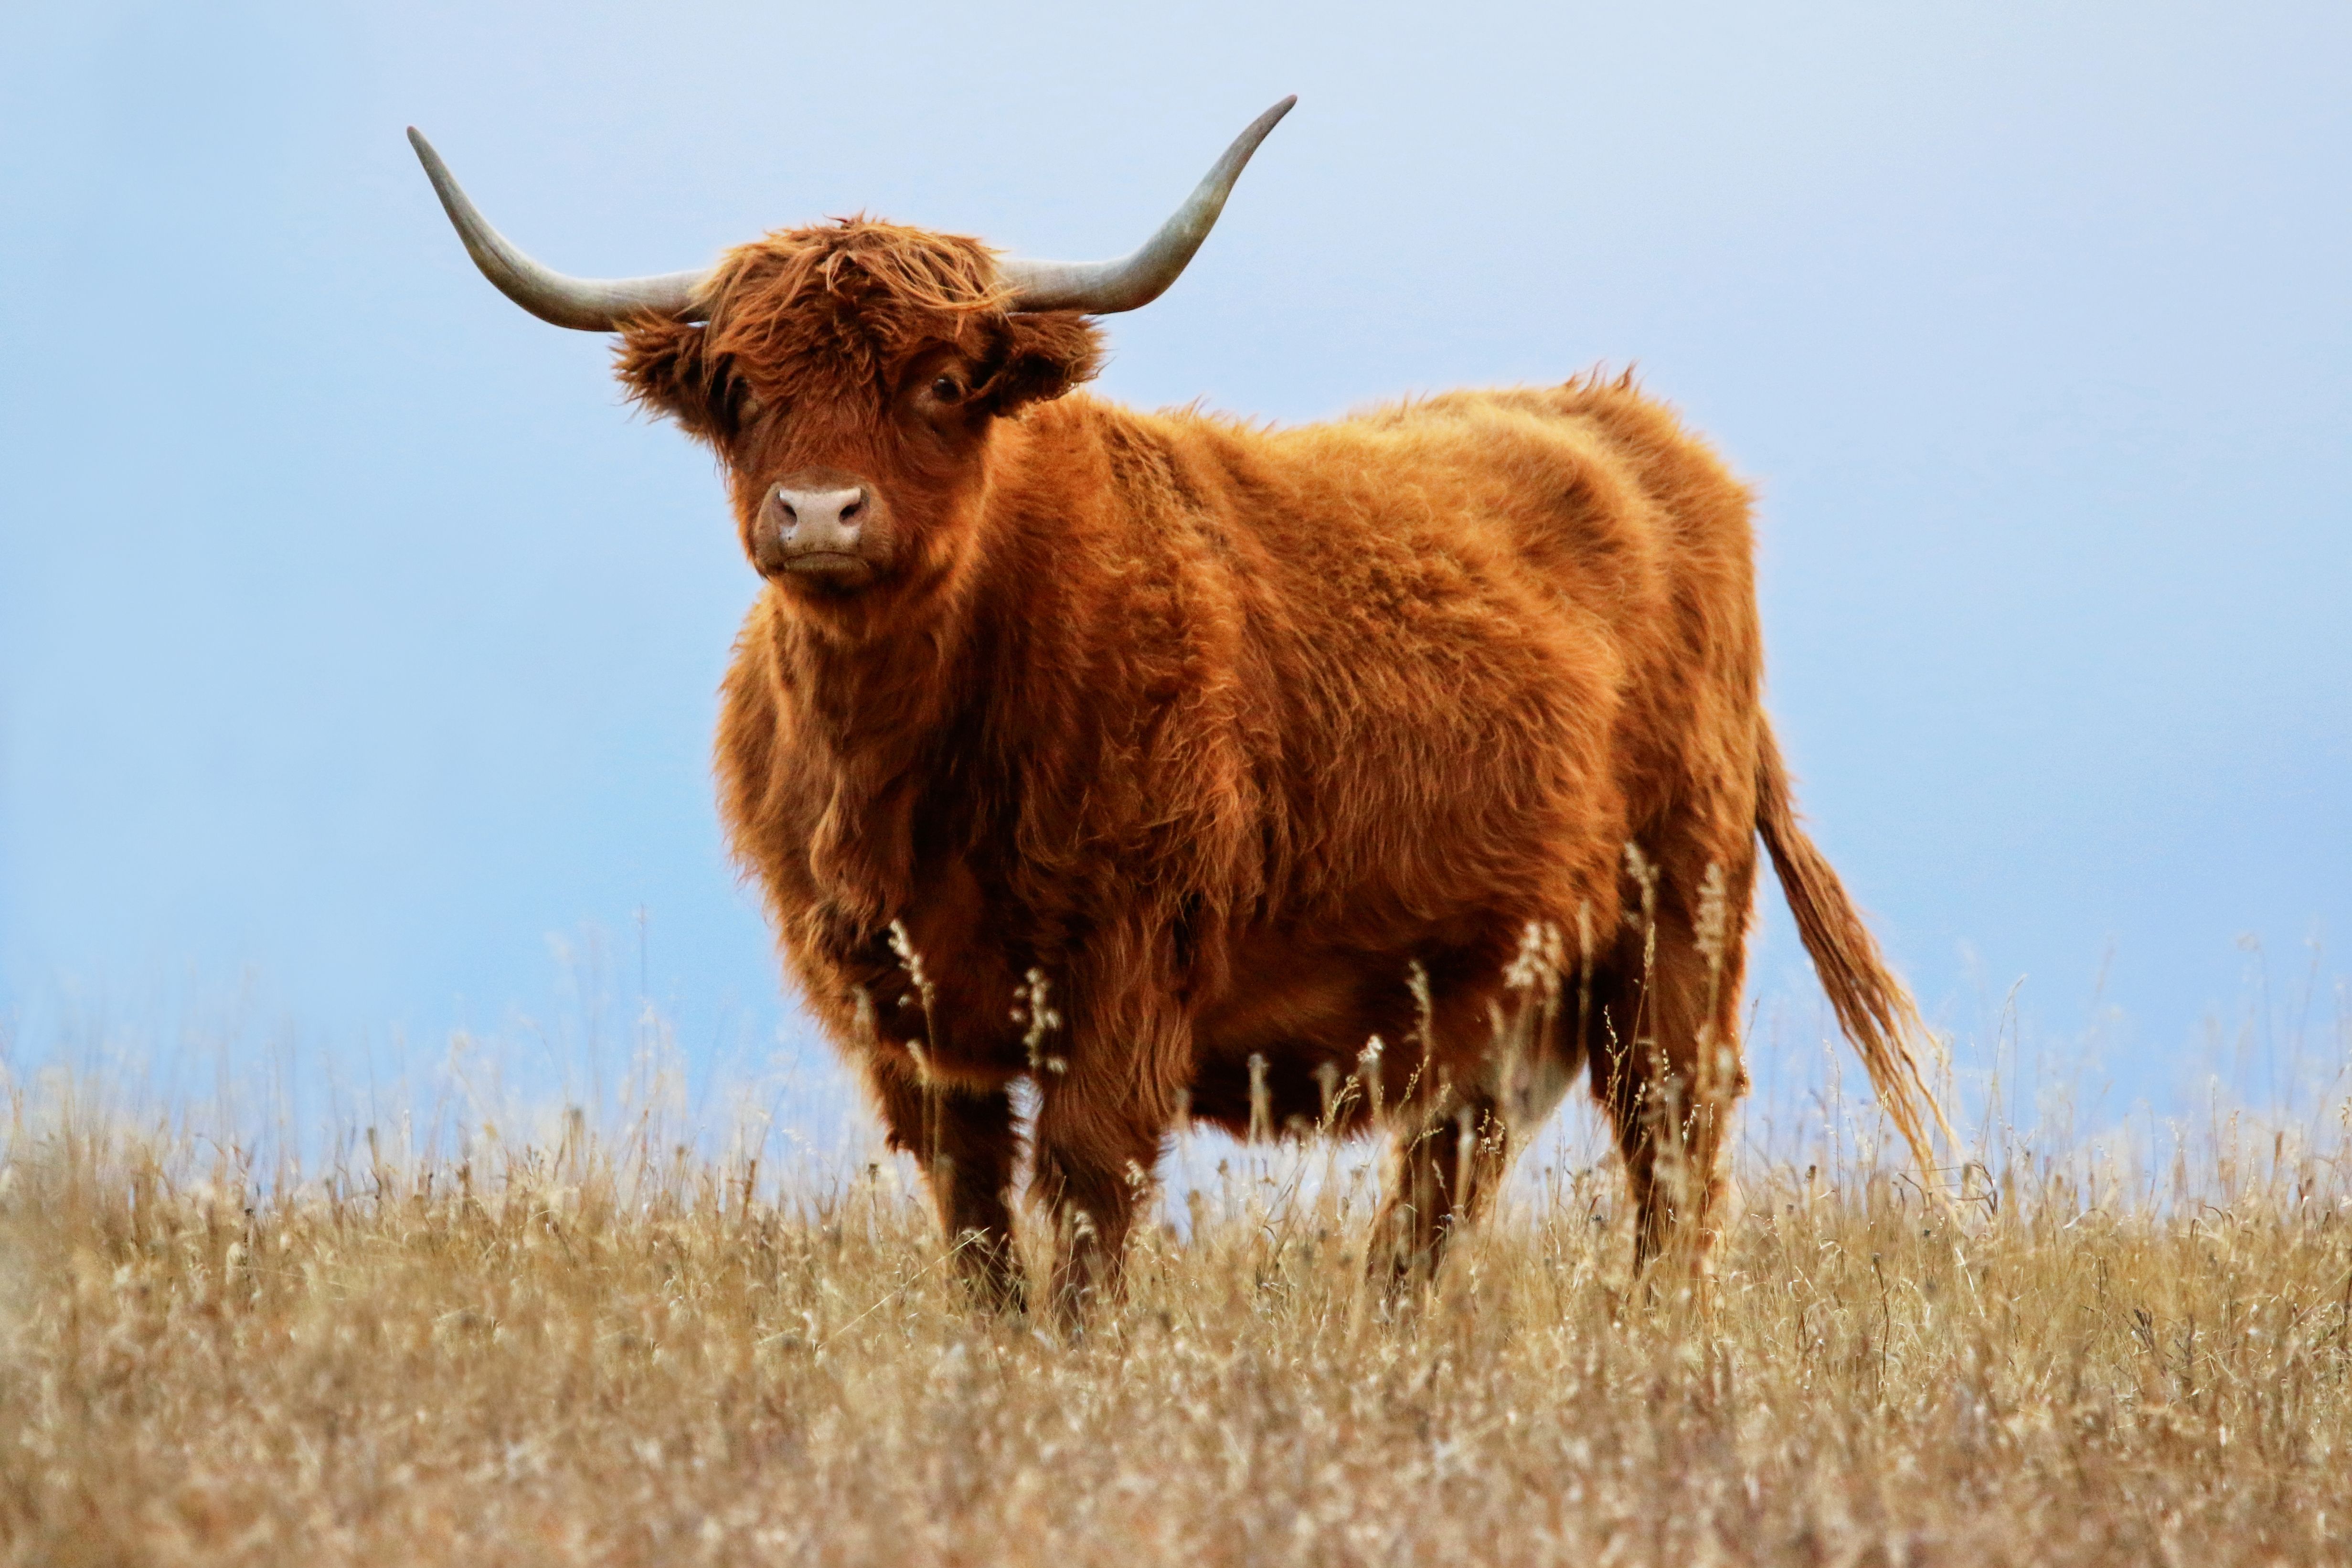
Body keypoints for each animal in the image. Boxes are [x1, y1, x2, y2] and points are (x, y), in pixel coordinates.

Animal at [411, 99, 1947, 1318]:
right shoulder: (905, 1017)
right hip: (1508, 981)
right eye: (737, 389)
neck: (908, 762)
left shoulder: (1129, 963)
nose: (819, 513)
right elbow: (975, 1216)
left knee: (1668, 1142)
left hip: (1676, 915)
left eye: (944, 381)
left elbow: (1087, 1186)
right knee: (1449, 1169)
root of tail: (1629, 429)